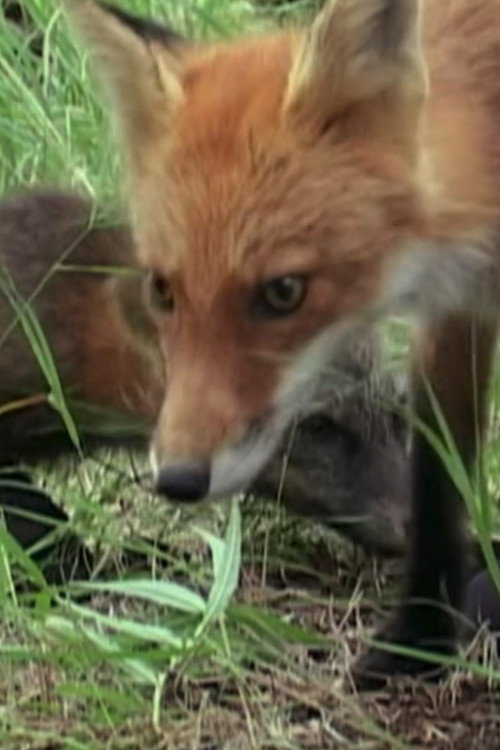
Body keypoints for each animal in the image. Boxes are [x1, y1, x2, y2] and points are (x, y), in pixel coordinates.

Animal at [60, 0, 500, 687]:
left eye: (284, 291)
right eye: (161, 289)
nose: (177, 479)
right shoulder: (457, 308)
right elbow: (437, 475)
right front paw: (418, 642)